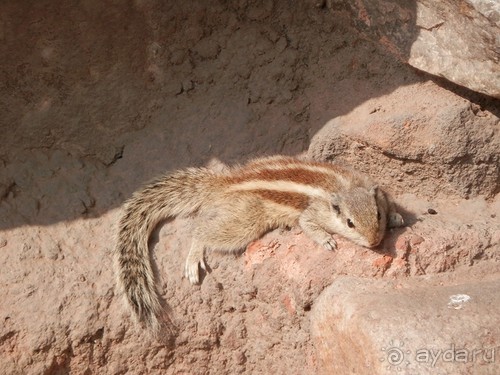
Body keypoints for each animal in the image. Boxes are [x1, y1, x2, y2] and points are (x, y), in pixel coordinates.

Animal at [113, 156, 402, 334]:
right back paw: (194, 256)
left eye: (377, 215)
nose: (375, 242)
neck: (346, 187)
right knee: (201, 228)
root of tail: (226, 182)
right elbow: (308, 223)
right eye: (350, 223)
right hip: (247, 219)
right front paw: (327, 240)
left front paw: (397, 218)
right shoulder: (313, 212)